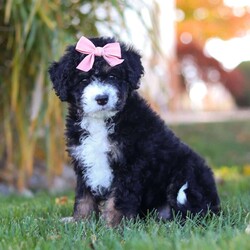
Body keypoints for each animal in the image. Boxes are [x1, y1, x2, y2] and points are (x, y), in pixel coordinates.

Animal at [48, 35, 219, 227]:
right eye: (83, 80)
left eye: (113, 75)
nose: (102, 98)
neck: (101, 121)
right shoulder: (83, 160)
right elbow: (84, 197)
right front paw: (80, 221)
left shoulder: (130, 163)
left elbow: (118, 199)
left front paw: (114, 226)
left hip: (186, 179)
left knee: (191, 212)